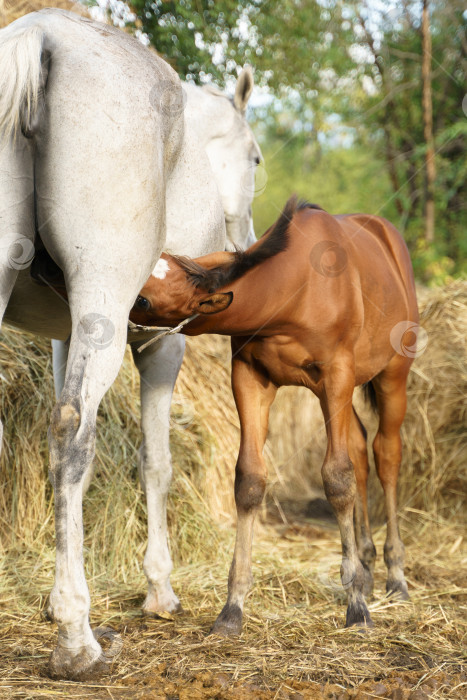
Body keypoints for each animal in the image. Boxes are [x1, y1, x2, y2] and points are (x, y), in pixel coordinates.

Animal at [0, 8, 262, 680]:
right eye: (255, 159)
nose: (245, 241)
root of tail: (41, 36)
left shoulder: (69, 337)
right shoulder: (159, 345)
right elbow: (156, 461)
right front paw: (157, 590)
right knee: (71, 430)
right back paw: (77, 642)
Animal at [130, 197, 418, 636]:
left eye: (145, 300)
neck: (296, 288)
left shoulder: (337, 375)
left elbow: (337, 479)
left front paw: (356, 607)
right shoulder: (250, 378)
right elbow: (250, 480)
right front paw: (232, 609)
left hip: (391, 377)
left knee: (386, 455)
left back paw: (395, 576)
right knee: (359, 450)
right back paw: (367, 565)